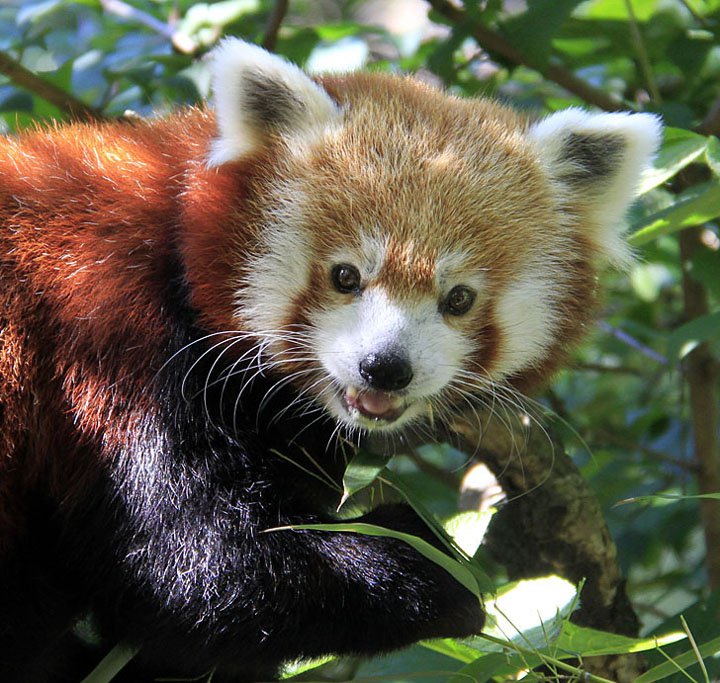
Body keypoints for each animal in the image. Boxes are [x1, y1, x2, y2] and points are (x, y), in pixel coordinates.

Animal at [0, 38, 660, 683]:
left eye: (459, 299)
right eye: (346, 276)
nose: (384, 366)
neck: (171, 237)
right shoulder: (105, 333)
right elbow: (190, 565)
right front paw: (429, 563)